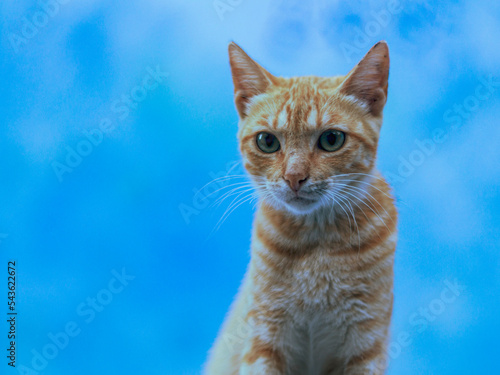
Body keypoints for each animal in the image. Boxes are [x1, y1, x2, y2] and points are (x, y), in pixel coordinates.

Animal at [204, 41, 398, 375]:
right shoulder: (263, 341)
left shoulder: (366, 346)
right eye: (267, 141)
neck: (316, 242)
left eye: (332, 139)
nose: (294, 177)